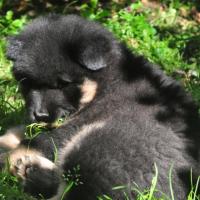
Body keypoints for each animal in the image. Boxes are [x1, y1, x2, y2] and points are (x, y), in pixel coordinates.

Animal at [0, 14, 199, 199]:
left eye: (64, 84)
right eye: (27, 82)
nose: (40, 115)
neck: (106, 81)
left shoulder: (80, 122)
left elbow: (35, 141)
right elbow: (19, 132)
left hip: (100, 145)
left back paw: (30, 171)